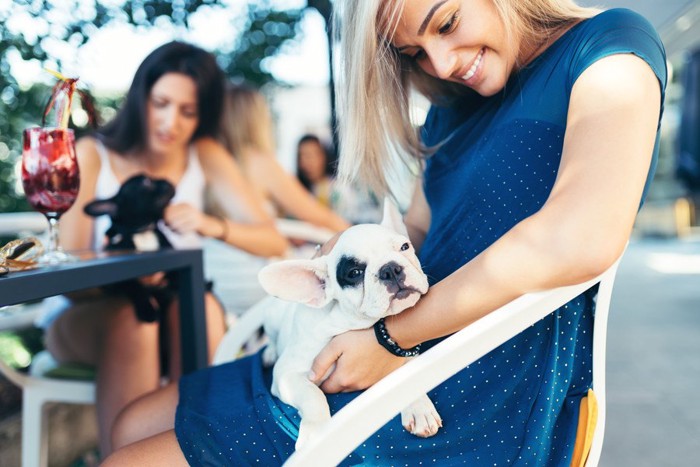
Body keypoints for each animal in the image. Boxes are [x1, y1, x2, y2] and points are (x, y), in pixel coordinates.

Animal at [84, 174, 175, 324]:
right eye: (146, 182)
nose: (165, 179)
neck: (143, 231)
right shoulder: (115, 282)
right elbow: (134, 285)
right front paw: (147, 309)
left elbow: (171, 284)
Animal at [258, 201, 442, 450]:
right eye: (355, 273)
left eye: (404, 246)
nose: (390, 268)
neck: (345, 324)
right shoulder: (286, 375)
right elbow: (313, 396)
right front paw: (317, 434)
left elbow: (408, 370)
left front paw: (418, 406)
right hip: (272, 319)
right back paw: (269, 352)